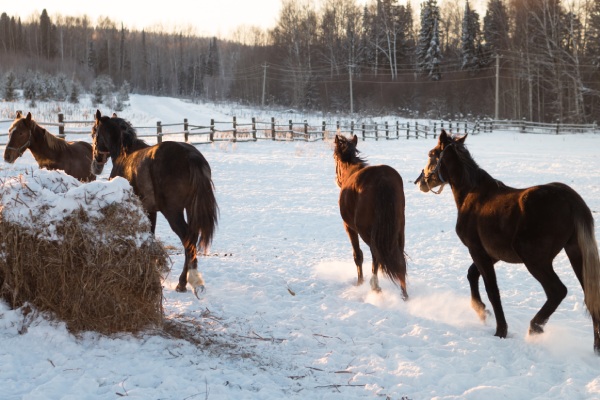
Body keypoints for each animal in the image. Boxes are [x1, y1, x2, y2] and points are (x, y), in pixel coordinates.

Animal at [91, 109, 218, 296]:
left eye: (94, 132)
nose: (96, 164)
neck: (125, 154)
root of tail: (191, 156)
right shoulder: (151, 210)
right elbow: (150, 234)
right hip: (190, 209)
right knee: (192, 238)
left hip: (173, 212)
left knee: (187, 239)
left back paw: (183, 283)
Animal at [332, 134, 408, 300]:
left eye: (334, 158)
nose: (336, 180)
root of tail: (383, 179)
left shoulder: (349, 227)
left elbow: (358, 255)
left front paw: (359, 282)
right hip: (399, 229)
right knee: (400, 258)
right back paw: (404, 294)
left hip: (366, 231)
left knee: (376, 254)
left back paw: (375, 286)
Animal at [414, 130, 600, 354]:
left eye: (431, 154)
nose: (420, 181)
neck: (472, 196)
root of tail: (571, 200)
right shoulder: (492, 254)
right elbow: (472, 274)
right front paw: (481, 311)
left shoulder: (478, 251)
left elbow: (492, 290)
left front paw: (500, 329)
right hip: (575, 254)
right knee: (591, 296)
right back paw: (596, 346)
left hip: (536, 261)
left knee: (557, 291)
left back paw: (535, 327)